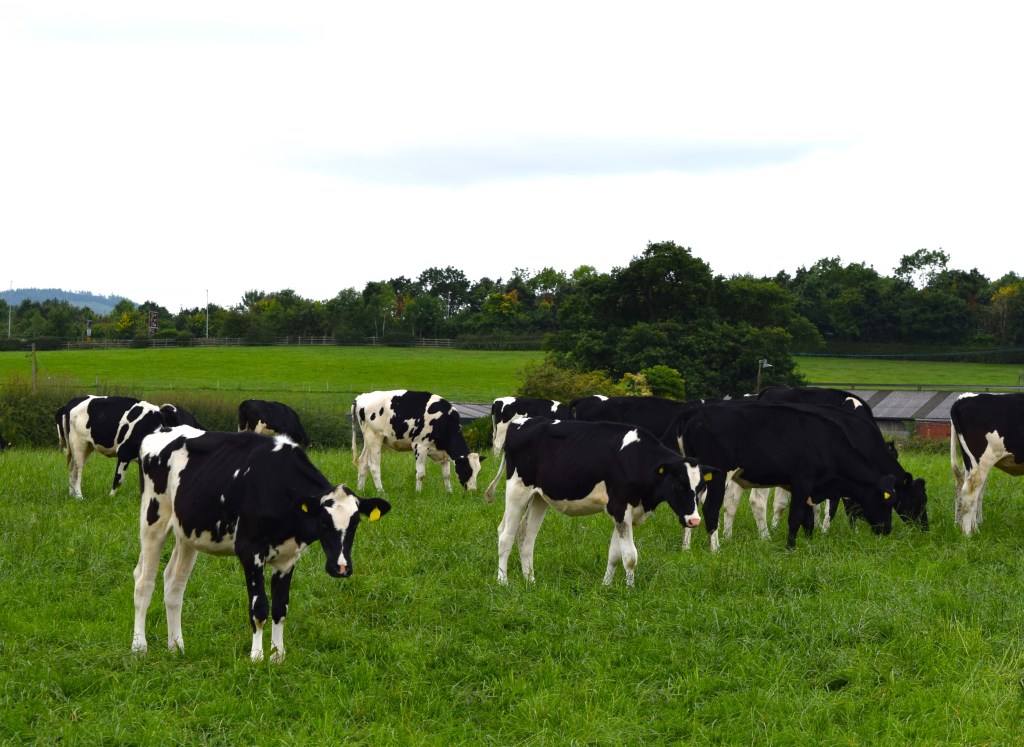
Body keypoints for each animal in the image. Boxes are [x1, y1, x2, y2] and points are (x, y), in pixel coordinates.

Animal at [134, 422, 389, 659]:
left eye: (355, 523)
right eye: (324, 523)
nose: (341, 567)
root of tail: (161, 430)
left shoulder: (287, 558)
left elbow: (280, 608)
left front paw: (277, 656)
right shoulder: (250, 551)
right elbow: (259, 608)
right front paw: (257, 657)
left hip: (187, 534)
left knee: (174, 584)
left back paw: (176, 647)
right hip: (153, 521)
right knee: (144, 582)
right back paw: (139, 647)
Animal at [352, 387, 483, 491]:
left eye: (477, 472)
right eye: (467, 470)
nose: (472, 490)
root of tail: (361, 397)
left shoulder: (443, 452)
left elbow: (446, 475)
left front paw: (449, 492)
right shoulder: (420, 446)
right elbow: (420, 474)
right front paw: (418, 493)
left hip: (368, 439)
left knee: (363, 462)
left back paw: (360, 490)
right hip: (375, 437)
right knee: (374, 466)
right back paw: (381, 491)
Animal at [489, 416, 716, 586]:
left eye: (700, 488)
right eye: (678, 486)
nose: (694, 520)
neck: (639, 459)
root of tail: (522, 422)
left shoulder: (623, 512)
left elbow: (615, 554)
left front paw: (606, 585)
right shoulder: (620, 506)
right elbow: (630, 556)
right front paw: (630, 589)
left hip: (539, 497)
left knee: (526, 535)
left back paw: (530, 580)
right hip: (517, 489)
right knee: (506, 535)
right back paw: (503, 581)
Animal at [679, 401, 929, 549]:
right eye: (886, 501)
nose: (886, 530)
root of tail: (696, 413)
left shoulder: (812, 488)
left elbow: (808, 519)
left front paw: (809, 544)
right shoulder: (801, 483)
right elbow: (796, 517)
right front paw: (790, 548)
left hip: (696, 476)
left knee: (691, 507)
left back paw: (686, 547)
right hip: (720, 474)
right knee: (711, 509)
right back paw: (715, 549)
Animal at [942, 393, 1024, 532]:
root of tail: (964, 398)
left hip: (969, 462)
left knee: (964, 489)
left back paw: (964, 526)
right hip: (981, 462)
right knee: (969, 491)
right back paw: (968, 533)